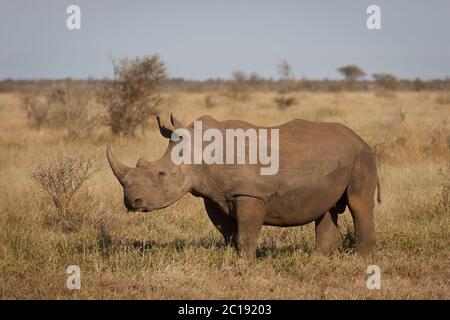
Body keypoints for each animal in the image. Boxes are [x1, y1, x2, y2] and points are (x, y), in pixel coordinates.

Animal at [107, 115, 382, 258]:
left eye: (161, 174)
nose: (131, 202)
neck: (199, 152)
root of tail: (361, 139)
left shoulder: (250, 194)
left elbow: (247, 233)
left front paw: (246, 263)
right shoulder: (214, 197)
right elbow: (229, 232)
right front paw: (232, 259)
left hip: (362, 157)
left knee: (359, 205)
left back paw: (360, 260)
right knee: (326, 208)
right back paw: (319, 259)